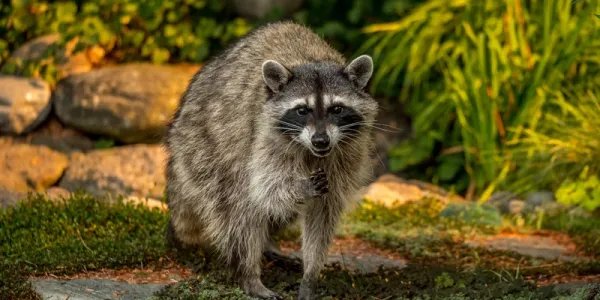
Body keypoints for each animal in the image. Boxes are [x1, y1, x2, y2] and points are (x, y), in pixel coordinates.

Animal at [164, 19, 380, 298]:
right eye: (302, 110)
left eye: (337, 109)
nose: (321, 141)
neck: (312, 59)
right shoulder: (264, 134)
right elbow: (265, 188)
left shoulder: (347, 152)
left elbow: (323, 211)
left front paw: (311, 275)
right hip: (205, 150)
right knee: (239, 206)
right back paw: (248, 274)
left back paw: (268, 245)